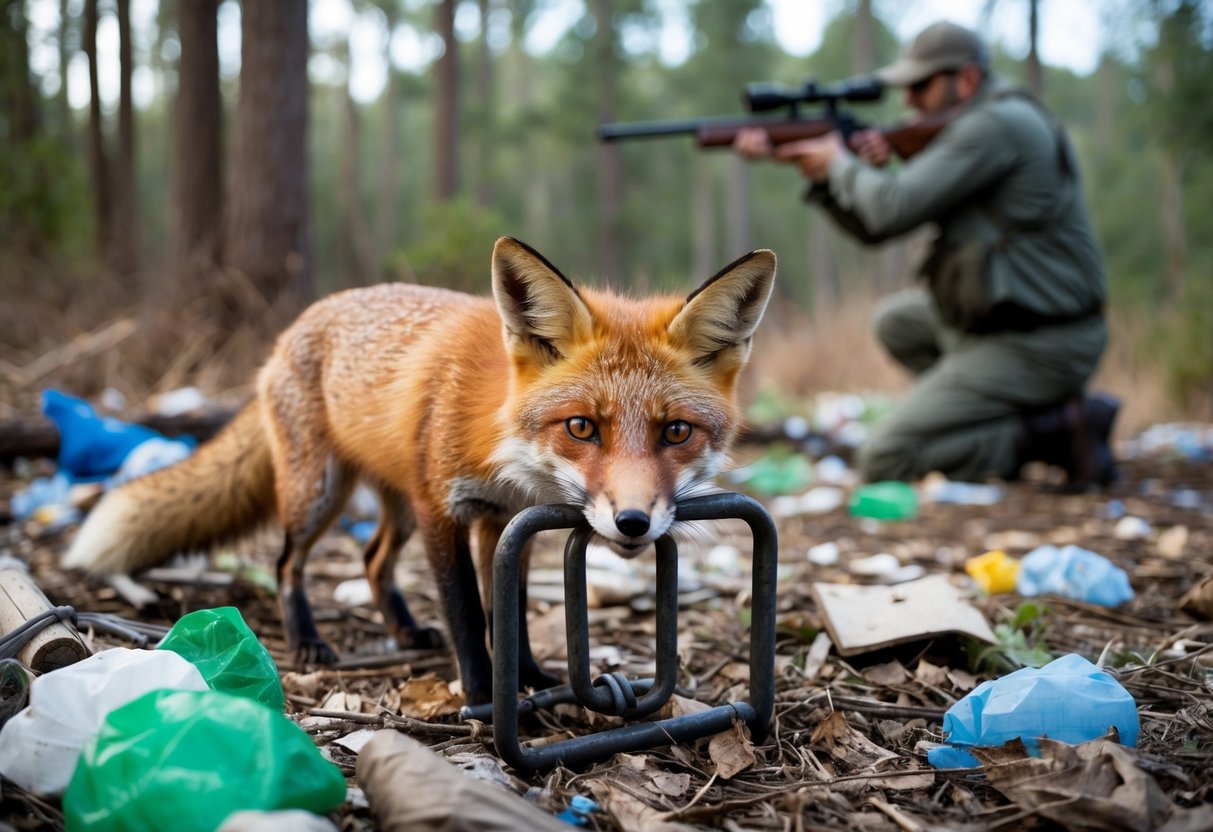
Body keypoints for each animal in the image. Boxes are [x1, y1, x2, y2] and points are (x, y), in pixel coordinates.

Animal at [64, 237, 776, 704]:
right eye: (582, 428)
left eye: (675, 432)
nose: (632, 524)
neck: (501, 447)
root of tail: (295, 326)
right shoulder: (444, 510)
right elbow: (468, 616)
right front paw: (486, 698)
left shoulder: (501, 521)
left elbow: (509, 612)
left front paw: (530, 678)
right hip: (321, 492)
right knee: (288, 563)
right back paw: (308, 640)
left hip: (394, 503)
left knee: (374, 559)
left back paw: (404, 629)